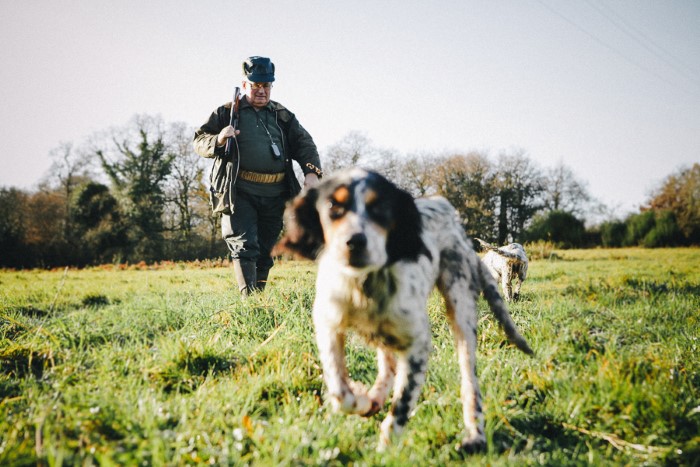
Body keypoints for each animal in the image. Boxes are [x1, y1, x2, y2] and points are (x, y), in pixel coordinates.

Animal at [274, 168, 532, 454]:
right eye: (333, 206)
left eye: (381, 208)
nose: (354, 242)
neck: (363, 285)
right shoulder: (328, 327)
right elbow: (341, 393)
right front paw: (363, 401)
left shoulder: (417, 344)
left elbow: (403, 400)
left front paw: (386, 445)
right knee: (387, 365)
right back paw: (376, 397)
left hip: (460, 307)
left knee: (469, 380)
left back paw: (475, 433)